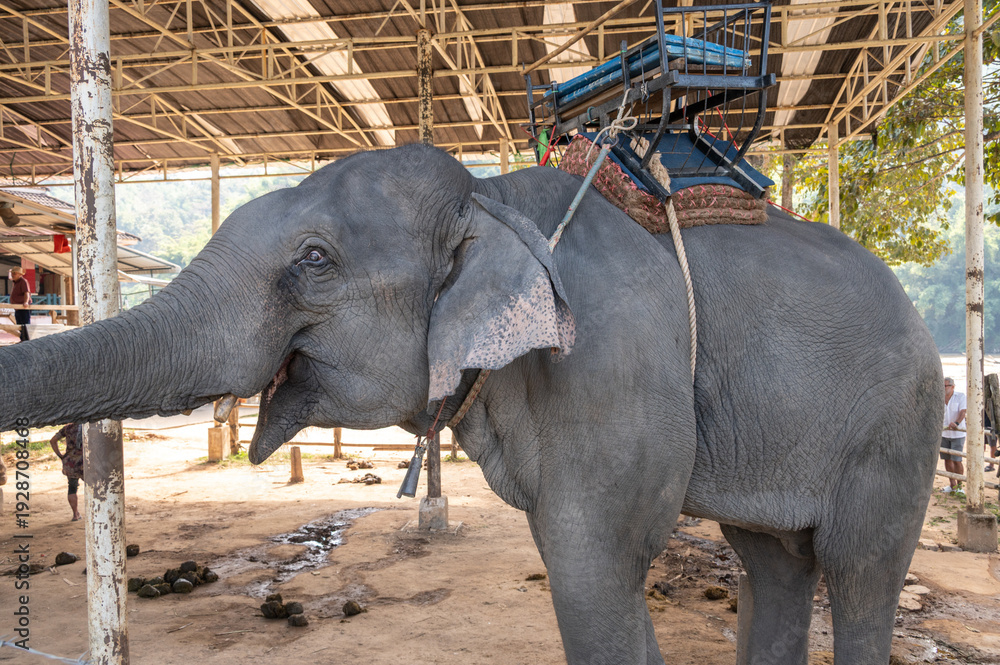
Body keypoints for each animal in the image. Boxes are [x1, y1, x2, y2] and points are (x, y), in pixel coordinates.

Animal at [0, 143, 942, 664]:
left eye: (313, 260)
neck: (493, 200)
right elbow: (584, 566)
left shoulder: (611, 369)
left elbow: (592, 569)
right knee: (774, 561)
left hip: (898, 429)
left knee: (859, 571)